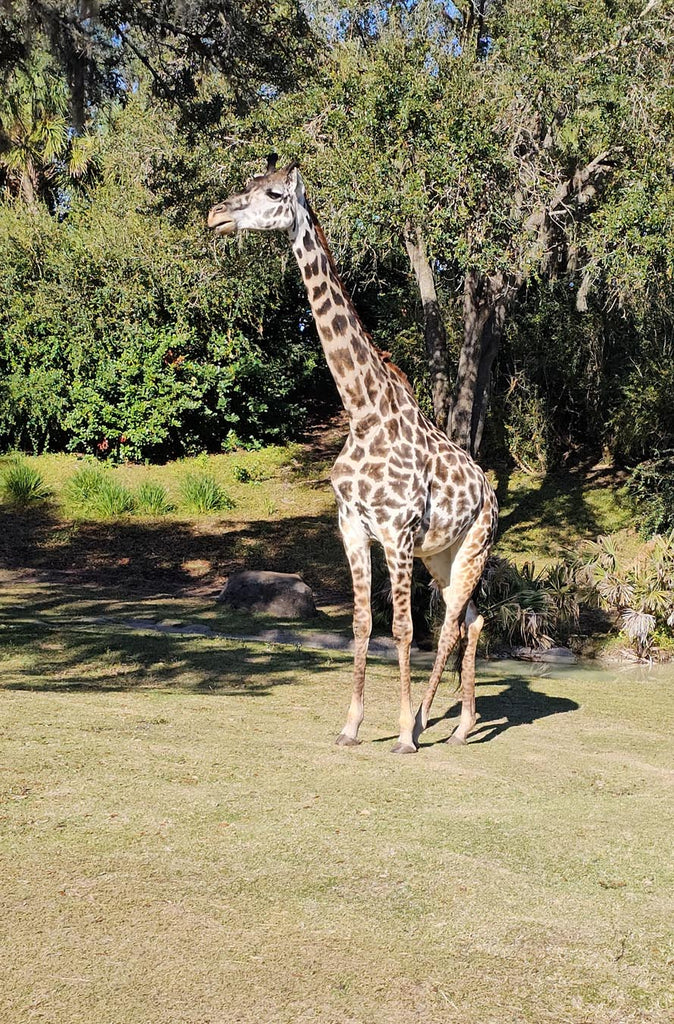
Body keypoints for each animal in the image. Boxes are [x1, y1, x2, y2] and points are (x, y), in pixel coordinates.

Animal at [208, 155, 498, 752]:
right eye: (246, 186)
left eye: (272, 194)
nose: (215, 215)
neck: (362, 410)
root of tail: (490, 489)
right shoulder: (353, 526)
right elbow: (363, 624)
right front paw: (352, 726)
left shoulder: (398, 531)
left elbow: (404, 628)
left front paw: (403, 734)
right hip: (443, 554)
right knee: (472, 620)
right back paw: (459, 725)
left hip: (474, 546)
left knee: (452, 623)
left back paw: (424, 724)